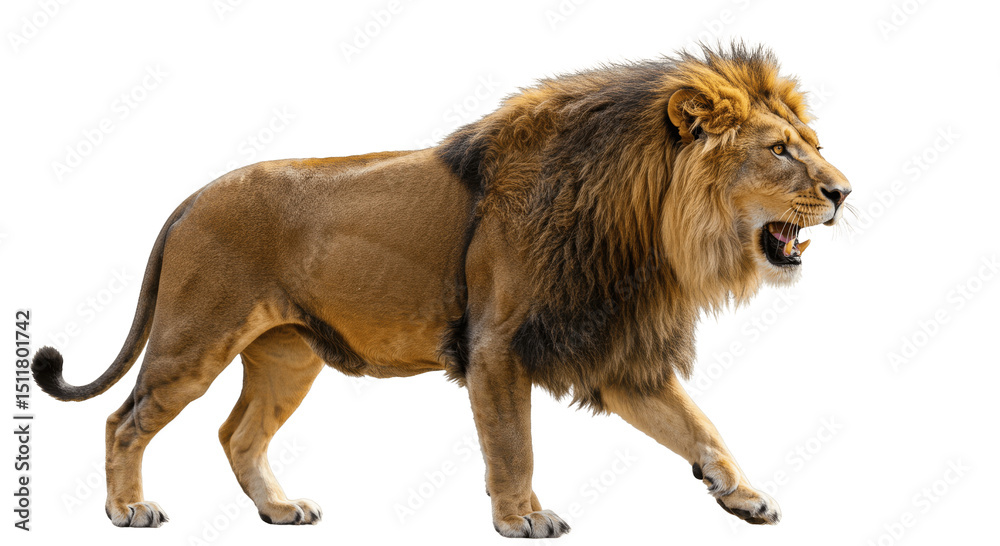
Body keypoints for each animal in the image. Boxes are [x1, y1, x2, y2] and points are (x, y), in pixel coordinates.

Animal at [32, 44, 850, 537]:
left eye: (812, 146)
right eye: (780, 151)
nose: (844, 191)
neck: (644, 231)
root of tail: (190, 198)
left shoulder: (616, 352)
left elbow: (701, 427)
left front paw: (743, 495)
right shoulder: (497, 347)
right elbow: (514, 447)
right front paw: (523, 520)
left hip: (288, 355)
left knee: (239, 435)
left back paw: (280, 508)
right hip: (193, 339)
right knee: (123, 420)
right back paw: (128, 509)